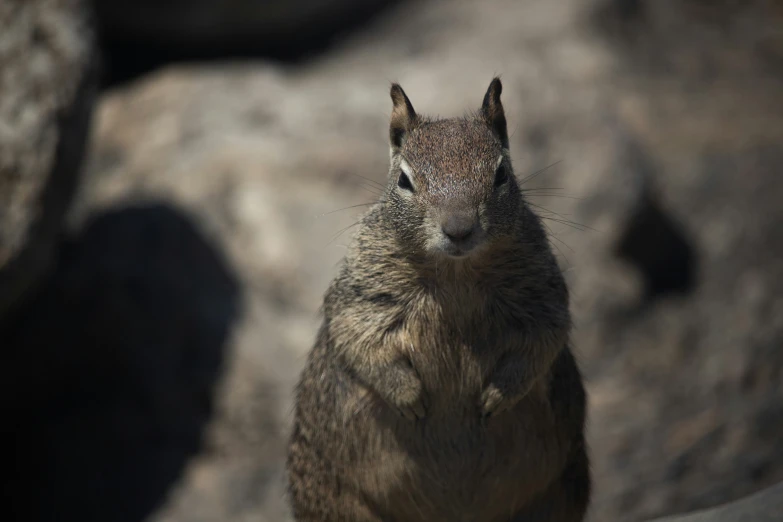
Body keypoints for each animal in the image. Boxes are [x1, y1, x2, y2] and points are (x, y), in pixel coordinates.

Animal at [286, 77, 588, 520]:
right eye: (404, 181)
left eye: (501, 173)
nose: (459, 228)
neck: (455, 275)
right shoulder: (362, 295)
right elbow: (359, 340)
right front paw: (408, 396)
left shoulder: (542, 297)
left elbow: (541, 341)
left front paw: (497, 397)